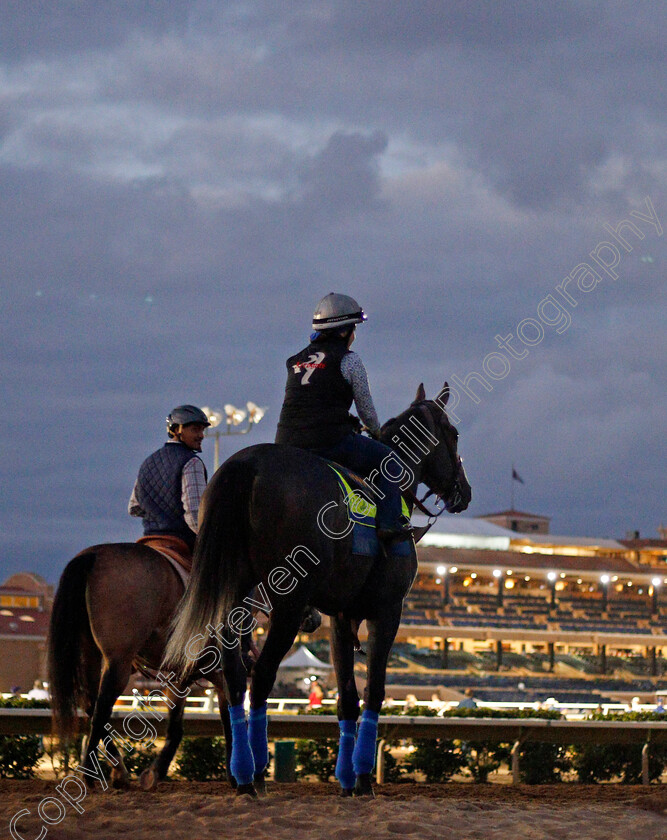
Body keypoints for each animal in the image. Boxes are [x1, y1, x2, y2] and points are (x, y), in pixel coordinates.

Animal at [47, 540, 232, 792]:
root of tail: (93, 555)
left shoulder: (181, 673)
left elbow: (179, 721)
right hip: (119, 662)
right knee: (101, 708)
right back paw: (92, 775)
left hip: (91, 654)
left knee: (92, 704)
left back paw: (116, 771)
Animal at [165, 384, 472, 796]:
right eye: (453, 433)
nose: (464, 492)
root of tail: (248, 465)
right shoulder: (387, 611)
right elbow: (374, 691)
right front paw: (363, 778)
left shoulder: (341, 618)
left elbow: (347, 699)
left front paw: (348, 779)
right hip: (289, 604)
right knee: (262, 677)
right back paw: (256, 772)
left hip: (236, 599)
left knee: (235, 679)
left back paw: (243, 773)